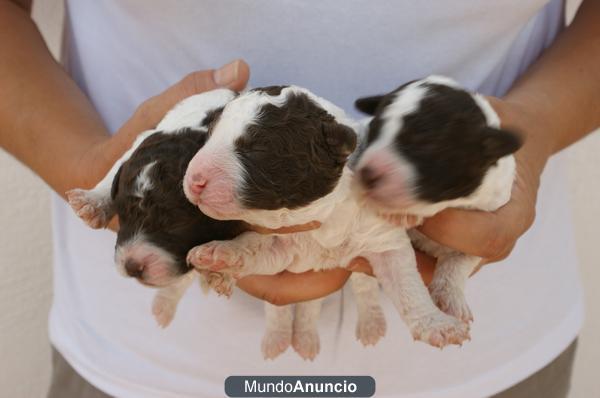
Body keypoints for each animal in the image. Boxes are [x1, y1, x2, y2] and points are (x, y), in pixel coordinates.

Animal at [185, 84, 472, 354]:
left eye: (256, 148)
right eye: (209, 134)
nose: (193, 181)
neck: (318, 219)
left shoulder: (382, 237)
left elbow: (407, 286)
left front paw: (437, 324)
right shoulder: (280, 244)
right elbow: (253, 247)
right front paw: (220, 254)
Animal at [354, 74, 524, 324]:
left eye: (425, 143)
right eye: (374, 129)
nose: (366, 173)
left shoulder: (486, 221)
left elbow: (461, 261)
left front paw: (450, 296)